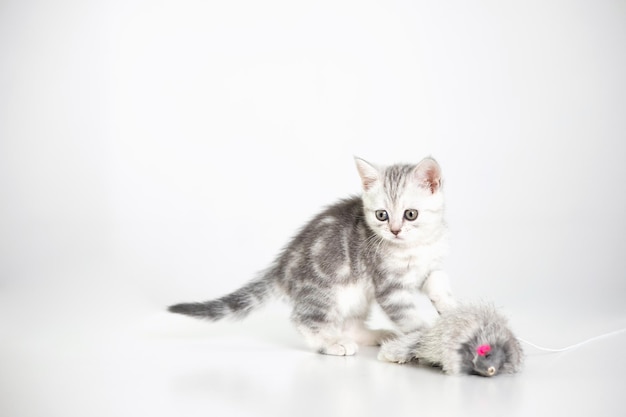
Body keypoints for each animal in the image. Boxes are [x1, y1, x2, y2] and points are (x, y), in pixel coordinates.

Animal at [168, 156, 456, 354]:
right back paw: (331, 343)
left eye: (411, 214)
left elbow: (436, 277)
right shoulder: (388, 285)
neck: (416, 246)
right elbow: (406, 315)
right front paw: (426, 336)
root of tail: (282, 266)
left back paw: (374, 335)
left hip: (357, 296)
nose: (395, 231)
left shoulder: (429, 263)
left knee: (349, 322)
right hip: (325, 289)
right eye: (381, 215)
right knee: (304, 319)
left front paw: (445, 302)